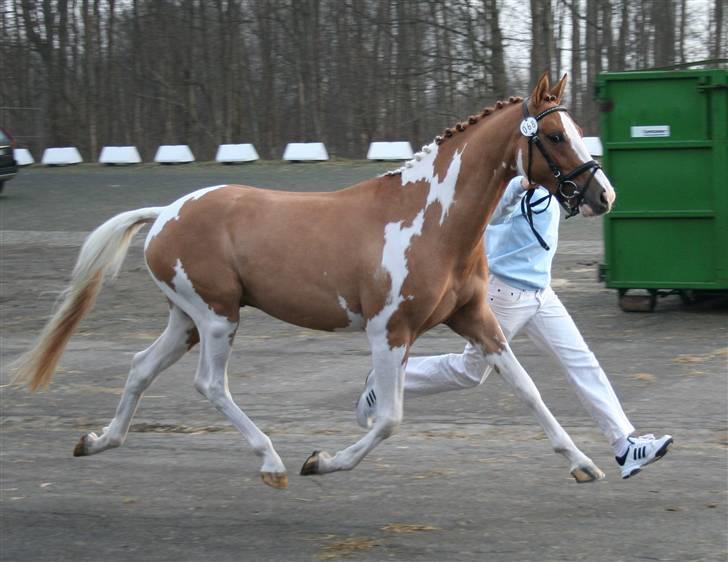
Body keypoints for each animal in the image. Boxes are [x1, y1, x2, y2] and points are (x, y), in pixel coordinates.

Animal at [12, 73, 616, 486]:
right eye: (555, 135)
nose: (603, 195)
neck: (430, 219)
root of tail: (165, 213)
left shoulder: (476, 320)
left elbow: (529, 389)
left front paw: (585, 463)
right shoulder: (388, 332)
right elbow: (390, 418)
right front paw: (321, 460)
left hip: (185, 320)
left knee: (140, 367)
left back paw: (96, 442)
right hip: (216, 317)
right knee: (210, 385)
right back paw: (273, 461)